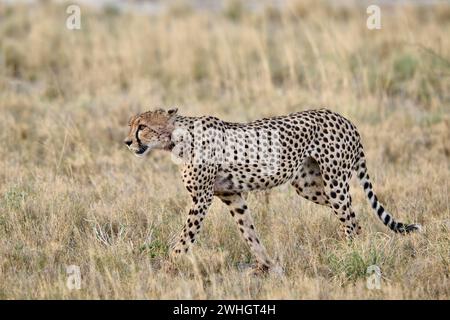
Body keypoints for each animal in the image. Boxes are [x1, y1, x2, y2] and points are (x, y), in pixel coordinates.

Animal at [124, 107, 422, 272]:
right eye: (131, 125)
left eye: (143, 127)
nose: (127, 142)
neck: (177, 138)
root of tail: (344, 119)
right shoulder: (232, 196)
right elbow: (249, 233)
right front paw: (266, 265)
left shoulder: (202, 198)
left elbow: (186, 236)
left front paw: (170, 265)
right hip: (308, 185)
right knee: (353, 216)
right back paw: (351, 246)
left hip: (335, 181)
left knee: (351, 219)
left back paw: (350, 254)